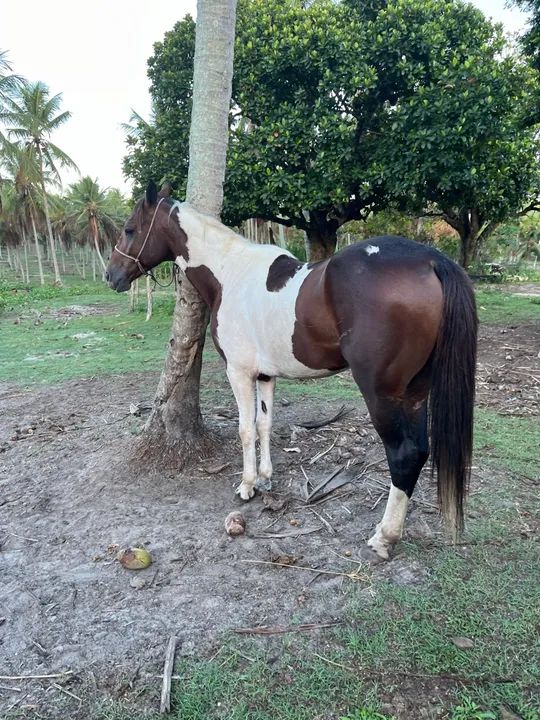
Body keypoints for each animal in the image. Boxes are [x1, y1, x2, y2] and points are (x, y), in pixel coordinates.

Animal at [106, 181, 477, 560]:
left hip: (383, 394)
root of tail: (432, 261)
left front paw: (247, 485)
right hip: (415, 391)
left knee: (404, 454)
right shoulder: (265, 375)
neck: (230, 273)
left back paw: (384, 537)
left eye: (130, 229)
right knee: (419, 450)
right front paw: (266, 477)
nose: (111, 275)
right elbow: (264, 424)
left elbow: (245, 430)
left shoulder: (238, 373)